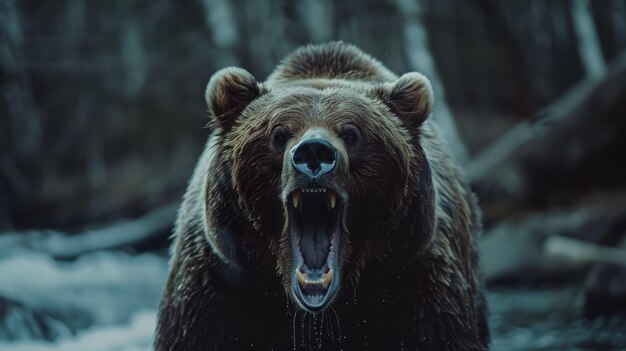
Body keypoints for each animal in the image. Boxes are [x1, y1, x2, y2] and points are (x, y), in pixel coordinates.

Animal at [154, 42, 486, 351]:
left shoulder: (420, 280)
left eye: (352, 134)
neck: (320, 315)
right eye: (279, 134)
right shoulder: (216, 282)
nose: (314, 151)